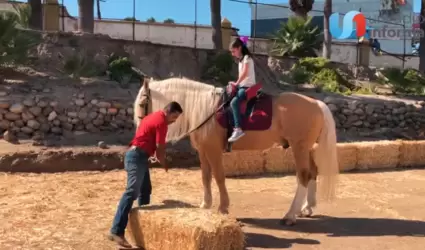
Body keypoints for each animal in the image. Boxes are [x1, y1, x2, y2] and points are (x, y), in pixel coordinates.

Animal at [132, 77, 338, 226]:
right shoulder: (203, 151)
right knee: (312, 173)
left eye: (142, 103)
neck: (206, 110)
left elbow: (218, 176)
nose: (139, 128)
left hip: (299, 148)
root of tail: (316, 103)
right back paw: (306, 208)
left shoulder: (213, 150)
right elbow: (205, 177)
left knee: (302, 176)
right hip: (306, 148)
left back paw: (290, 215)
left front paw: (223, 207)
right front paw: (205, 204)